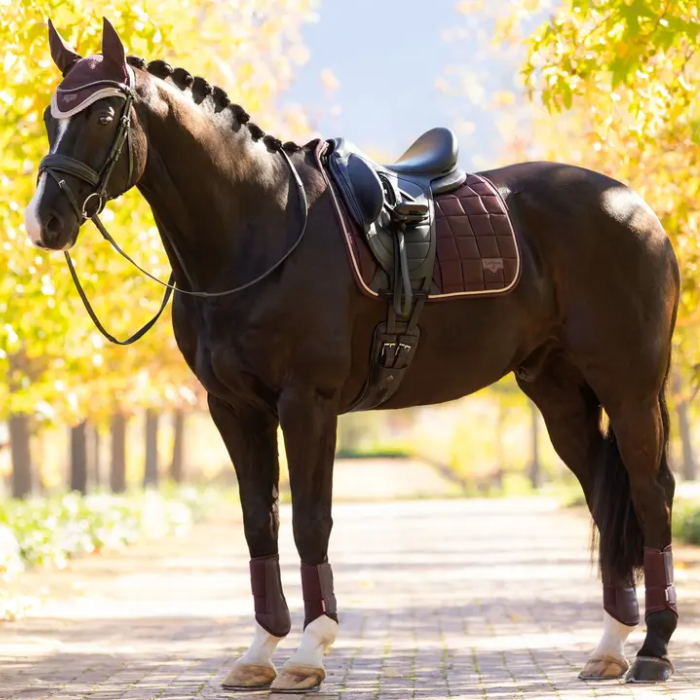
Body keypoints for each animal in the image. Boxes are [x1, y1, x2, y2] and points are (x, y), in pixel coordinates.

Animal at [25, 18, 680, 692]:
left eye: (105, 113)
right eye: (50, 115)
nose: (45, 221)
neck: (261, 229)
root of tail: (635, 207)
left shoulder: (307, 403)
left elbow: (311, 521)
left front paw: (309, 653)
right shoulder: (233, 408)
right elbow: (259, 521)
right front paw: (258, 653)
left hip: (628, 388)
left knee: (651, 493)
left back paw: (653, 648)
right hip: (559, 393)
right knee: (605, 495)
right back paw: (609, 646)